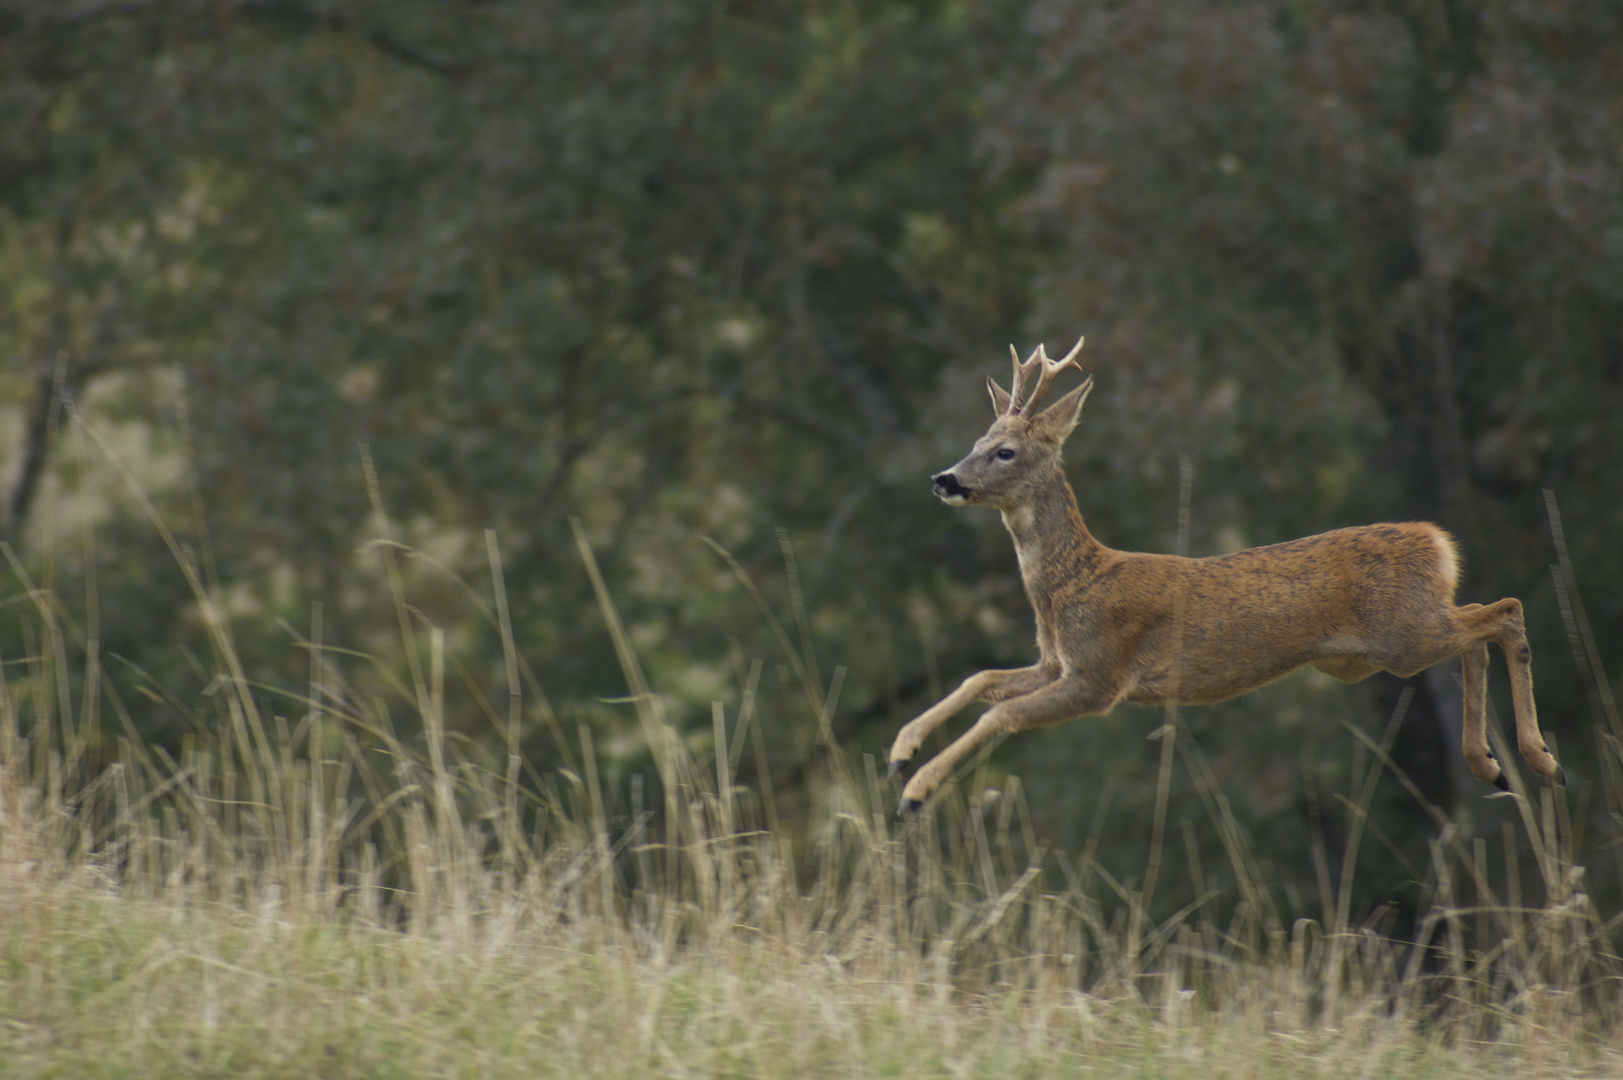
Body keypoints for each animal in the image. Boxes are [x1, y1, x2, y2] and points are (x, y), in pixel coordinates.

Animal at [895, 337, 1564, 808]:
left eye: (1004, 451)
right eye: (976, 439)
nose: (943, 479)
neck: (1070, 585)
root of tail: (1437, 541)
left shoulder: (1101, 674)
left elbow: (1000, 714)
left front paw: (914, 791)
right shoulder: (1056, 661)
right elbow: (980, 679)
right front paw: (902, 751)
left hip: (1401, 635)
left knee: (1504, 614)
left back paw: (1538, 759)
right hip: (1390, 641)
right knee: (1479, 626)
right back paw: (1490, 765)